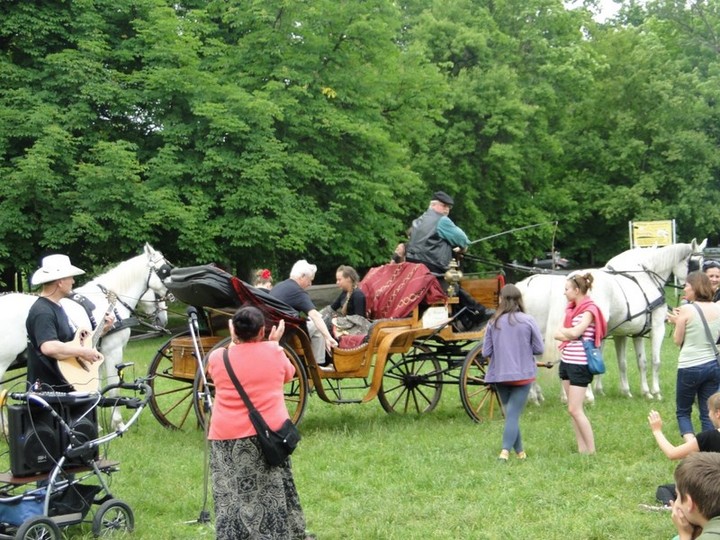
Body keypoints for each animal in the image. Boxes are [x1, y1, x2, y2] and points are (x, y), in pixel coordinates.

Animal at [0, 244, 171, 426]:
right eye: (165, 271)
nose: (163, 319)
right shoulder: (113, 350)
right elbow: (114, 388)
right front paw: (117, 423)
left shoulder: (97, 353)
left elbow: (96, 388)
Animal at [516, 238, 708, 402]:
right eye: (694, 264)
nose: (698, 290)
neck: (645, 279)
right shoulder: (657, 326)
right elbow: (655, 361)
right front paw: (656, 392)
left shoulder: (627, 333)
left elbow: (634, 363)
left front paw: (636, 391)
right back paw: (580, 396)